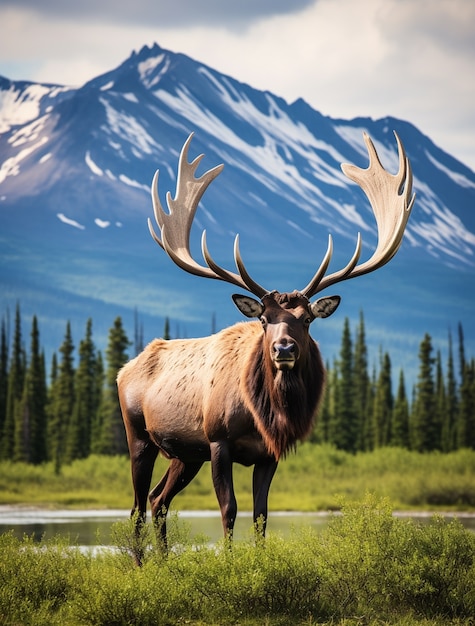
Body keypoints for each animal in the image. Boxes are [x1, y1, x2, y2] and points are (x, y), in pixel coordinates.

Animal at [117, 132, 414, 552]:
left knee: (159, 501)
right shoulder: (218, 441)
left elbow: (261, 515)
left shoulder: (269, 452)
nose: (283, 348)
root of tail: (125, 369)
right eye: (262, 319)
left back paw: (162, 561)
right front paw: (228, 561)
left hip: (185, 454)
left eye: (306, 319)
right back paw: (143, 563)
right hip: (139, 435)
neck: (263, 413)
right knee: (138, 506)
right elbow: (229, 510)